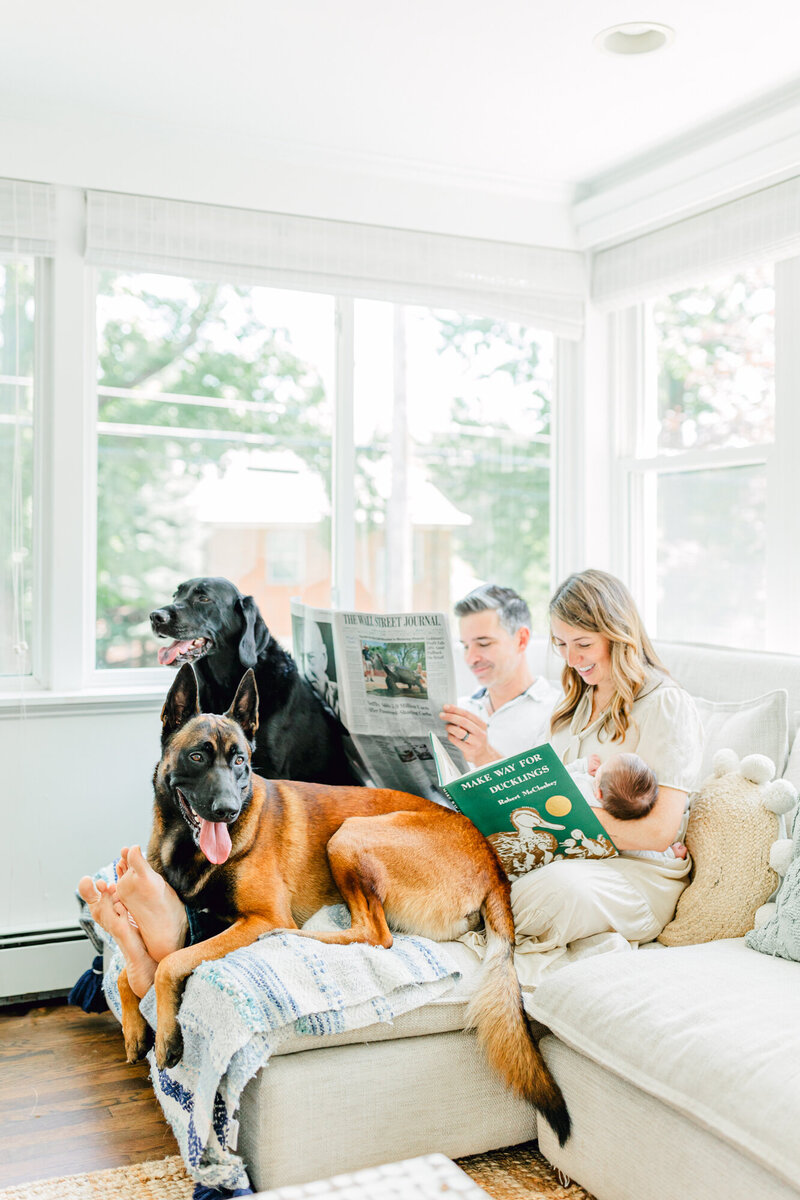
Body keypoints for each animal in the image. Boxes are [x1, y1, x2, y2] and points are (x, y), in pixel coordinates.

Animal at [117, 667, 568, 1142]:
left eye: (240, 761)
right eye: (198, 757)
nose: (227, 810)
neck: (187, 846)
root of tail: (492, 864)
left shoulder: (258, 916)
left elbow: (168, 964)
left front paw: (166, 1037)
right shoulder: (193, 921)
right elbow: (134, 971)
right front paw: (134, 1028)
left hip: (349, 835)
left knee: (375, 934)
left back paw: (296, 934)